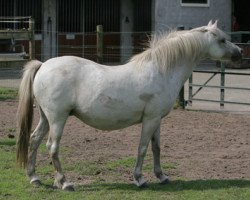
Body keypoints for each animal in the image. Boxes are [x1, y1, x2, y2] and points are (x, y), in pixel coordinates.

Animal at [16, 21, 242, 190]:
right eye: (222, 40)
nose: (239, 52)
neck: (161, 70)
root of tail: (43, 65)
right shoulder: (150, 120)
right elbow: (142, 148)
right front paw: (140, 179)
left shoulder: (157, 120)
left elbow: (156, 147)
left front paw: (162, 176)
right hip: (58, 118)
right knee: (52, 147)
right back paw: (64, 183)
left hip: (46, 118)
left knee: (34, 140)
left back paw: (34, 178)